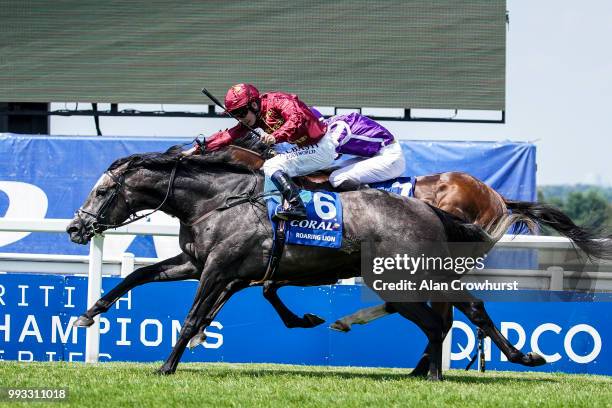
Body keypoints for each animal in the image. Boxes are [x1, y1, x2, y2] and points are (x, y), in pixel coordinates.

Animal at [67, 145, 544, 378]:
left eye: (103, 191)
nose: (75, 228)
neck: (218, 199)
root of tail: (431, 210)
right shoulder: (200, 263)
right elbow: (141, 275)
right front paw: (88, 315)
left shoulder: (220, 268)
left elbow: (193, 316)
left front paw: (167, 366)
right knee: (457, 312)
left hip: (399, 277)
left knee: (445, 316)